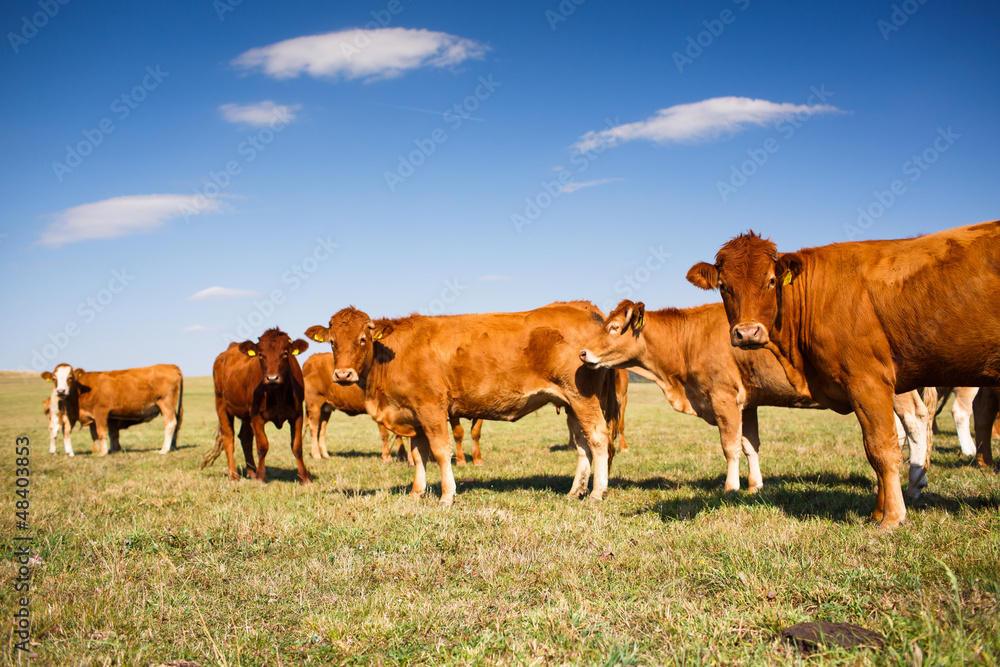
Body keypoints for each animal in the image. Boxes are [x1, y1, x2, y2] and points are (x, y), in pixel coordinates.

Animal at [39, 362, 184, 456]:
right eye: (54, 379)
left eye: (70, 378)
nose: (61, 391)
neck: (81, 390)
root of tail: (170, 366)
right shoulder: (75, 414)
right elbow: (75, 432)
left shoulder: (101, 412)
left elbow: (101, 432)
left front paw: (102, 453)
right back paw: (172, 447)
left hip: (166, 403)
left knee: (170, 423)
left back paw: (164, 450)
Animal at [201, 328, 310, 486]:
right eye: (260, 354)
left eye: (285, 353)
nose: (272, 378)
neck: (278, 393)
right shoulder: (257, 415)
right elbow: (262, 446)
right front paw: (261, 477)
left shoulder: (297, 414)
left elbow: (297, 446)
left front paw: (305, 478)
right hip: (222, 406)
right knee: (229, 438)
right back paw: (233, 475)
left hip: (246, 415)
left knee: (245, 438)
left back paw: (251, 472)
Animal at [302, 354, 486, 464]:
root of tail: (311, 359)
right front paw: (390, 457)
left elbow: (475, 433)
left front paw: (477, 459)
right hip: (314, 403)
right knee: (313, 427)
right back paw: (316, 454)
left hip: (326, 407)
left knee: (321, 428)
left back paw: (325, 454)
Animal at [688, 222, 1000, 528]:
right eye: (723, 286)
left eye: (771, 281)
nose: (747, 333)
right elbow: (872, 450)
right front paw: (877, 512)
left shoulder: (867, 380)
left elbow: (882, 447)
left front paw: (892, 517)